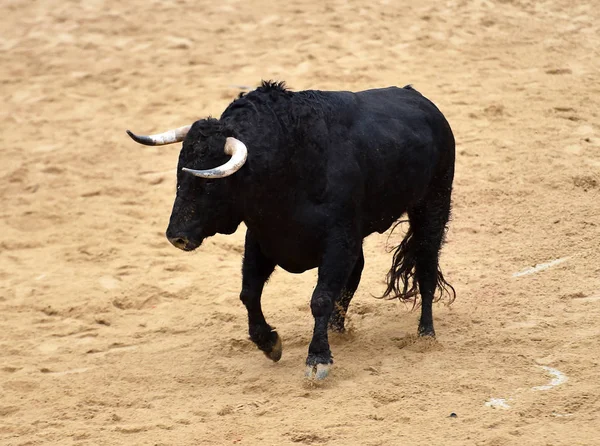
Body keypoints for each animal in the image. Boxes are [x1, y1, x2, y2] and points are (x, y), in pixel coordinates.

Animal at [126, 81, 454, 380]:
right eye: (179, 173)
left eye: (208, 183)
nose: (176, 236)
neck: (286, 163)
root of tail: (422, 100)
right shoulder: (261, 239)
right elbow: (249, 293)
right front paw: (270, 343)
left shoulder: (338, 241)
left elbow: (320, 298)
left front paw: (318, 359)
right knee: (356, 274)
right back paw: (338, 331)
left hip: (433, 203)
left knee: (425, 265)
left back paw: (426, 334)